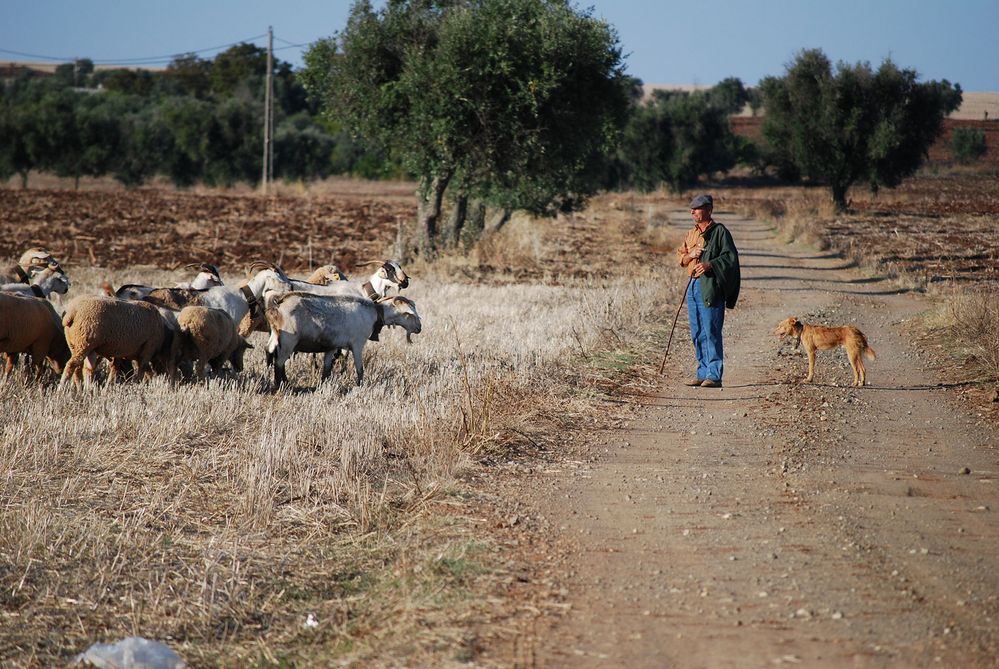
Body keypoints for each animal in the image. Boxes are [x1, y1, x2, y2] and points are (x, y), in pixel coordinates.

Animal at [264, 294, 420, 386]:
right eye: (409, 314)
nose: (419, 328)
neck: (374, 313)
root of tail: (277, 306)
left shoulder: (332, 347)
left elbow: (327, 369)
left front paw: (324, 385)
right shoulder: (357, 344)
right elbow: (360, 369)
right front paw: (360, 385)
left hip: (275, 336)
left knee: (269, 351)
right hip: (288, 341)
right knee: (279, 362)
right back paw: (280, 385)